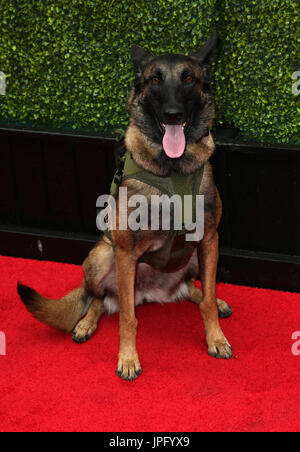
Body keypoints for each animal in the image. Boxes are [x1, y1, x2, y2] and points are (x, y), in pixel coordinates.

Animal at [18, 30, 233, 380]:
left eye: (188, 78)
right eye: (154, 80)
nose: (173, 114)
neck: (172, 169)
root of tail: (151, 293)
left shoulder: (210, 240)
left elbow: (209, 300)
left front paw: (215, 337)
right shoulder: (126, 252)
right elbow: (128, 319)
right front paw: (128, 358)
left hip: (194, 258)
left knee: (193, 288)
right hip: (102, 257)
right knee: (99, 299)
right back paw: (86, 323)